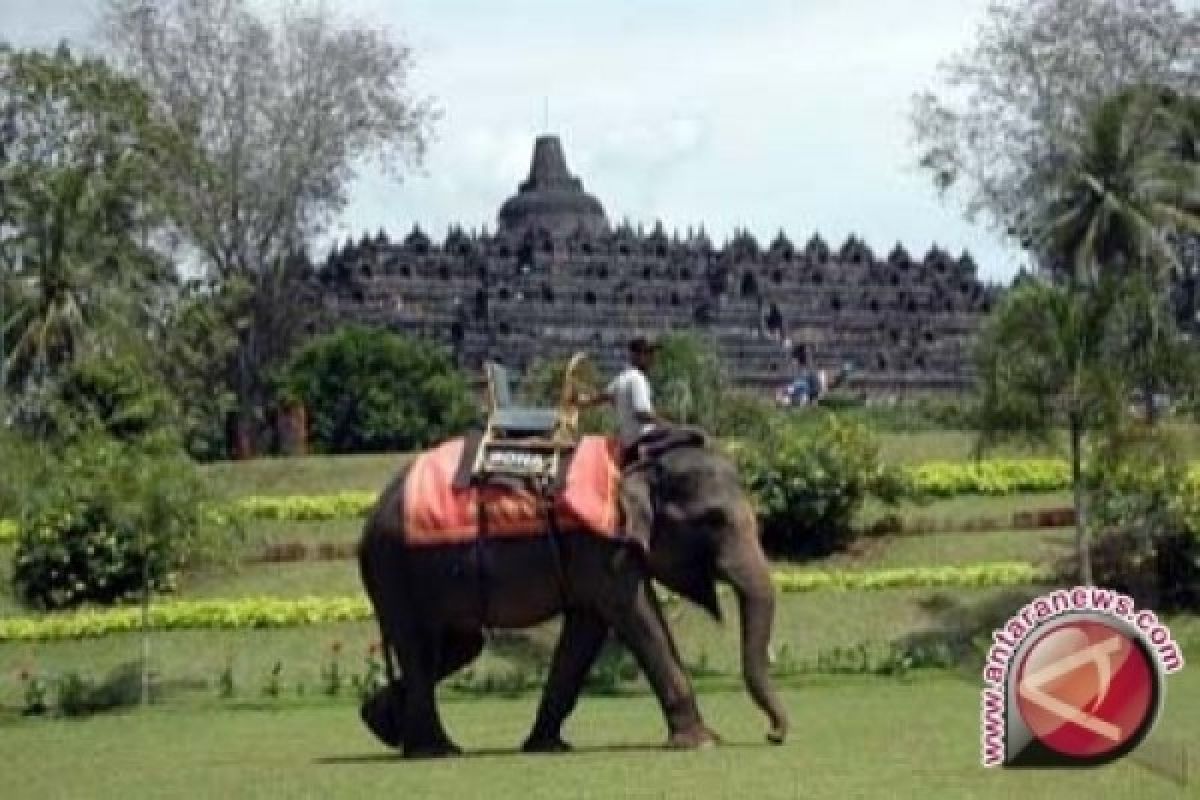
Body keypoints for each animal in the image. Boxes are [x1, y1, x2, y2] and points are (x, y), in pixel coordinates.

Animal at [355, 438, 787, 758]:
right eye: (714, 520)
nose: (774, 735)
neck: (636, 463)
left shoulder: (592, 559)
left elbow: (586, 630)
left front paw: (547, 747)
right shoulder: (602, 547)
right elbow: (636, 615)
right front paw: (702, 742)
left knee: (458, 647)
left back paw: (383, 725)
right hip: (396, 568)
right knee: (419, 646)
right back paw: (435, 750)